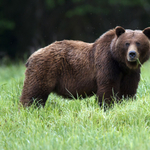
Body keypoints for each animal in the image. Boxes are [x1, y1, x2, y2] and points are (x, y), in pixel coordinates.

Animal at [19, 26, 150, 109]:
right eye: (126, 43)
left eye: (138, 43)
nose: (132, 54)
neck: (120, 63)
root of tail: (32, 56)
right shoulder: (106, 63)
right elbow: (108, 88)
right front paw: (107, 107)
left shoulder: (131, 73)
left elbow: (128, 90)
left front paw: (126, 103)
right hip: (44, 69)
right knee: (34, 92)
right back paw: (27, 109)